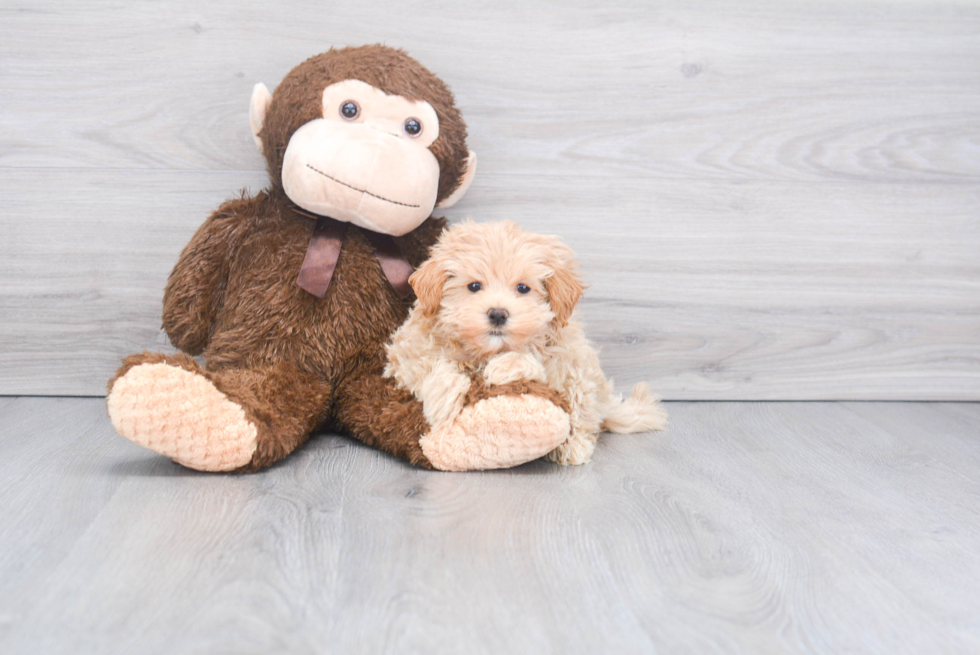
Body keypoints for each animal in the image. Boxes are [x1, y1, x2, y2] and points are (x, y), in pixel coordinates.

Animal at [382, 220, 668, 466]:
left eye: (522, 288)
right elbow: (430, 364)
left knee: (581, 413)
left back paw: (572, 447)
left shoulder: (561, 355)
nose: (498, 314)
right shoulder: (404, 354)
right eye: (474, 286)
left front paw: (502, 367)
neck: (485, 350)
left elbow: (533, 362)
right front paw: (444, 398)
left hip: (582, 374)